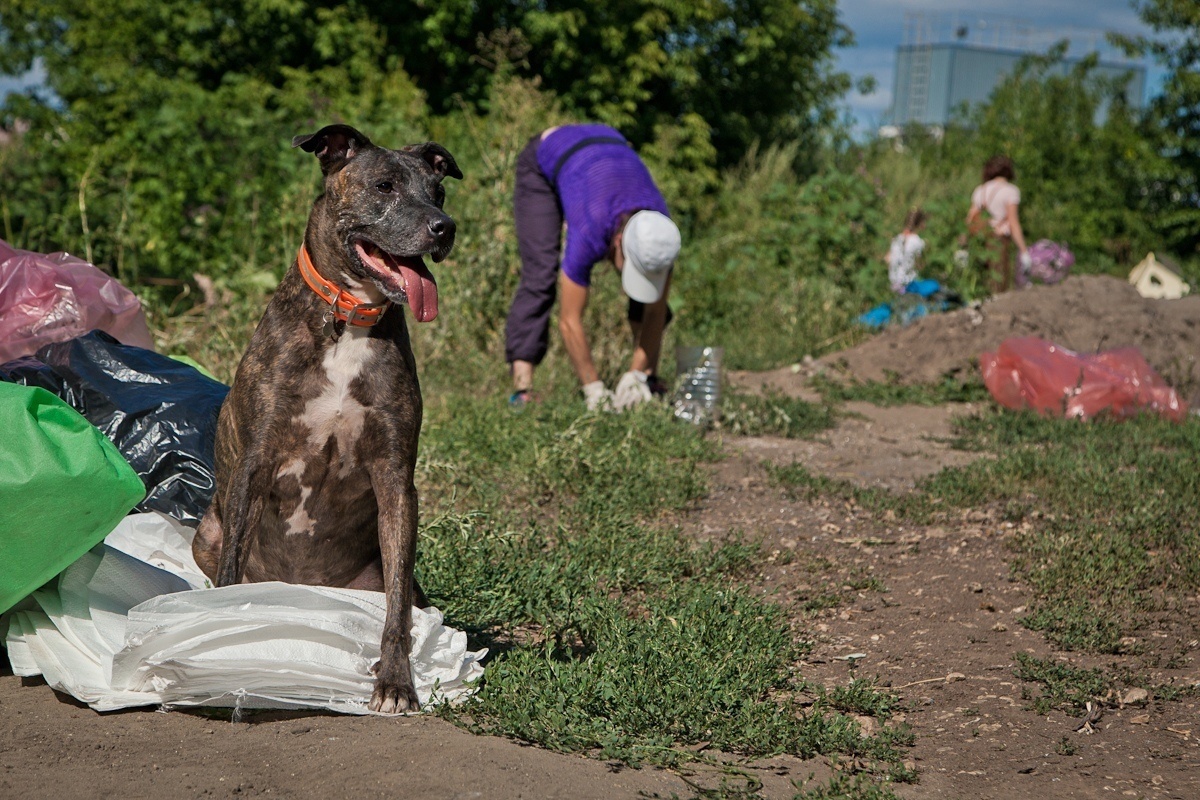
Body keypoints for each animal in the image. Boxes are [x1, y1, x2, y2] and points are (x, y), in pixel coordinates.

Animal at [194, 123, 460, 714]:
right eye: (384, 186)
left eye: (439, 191)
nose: (444, 227)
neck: (348, 320)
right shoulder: (254, 464)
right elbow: (229, 575)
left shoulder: (395, 478)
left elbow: (396, 611)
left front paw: (396, 682)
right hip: (206, 531)